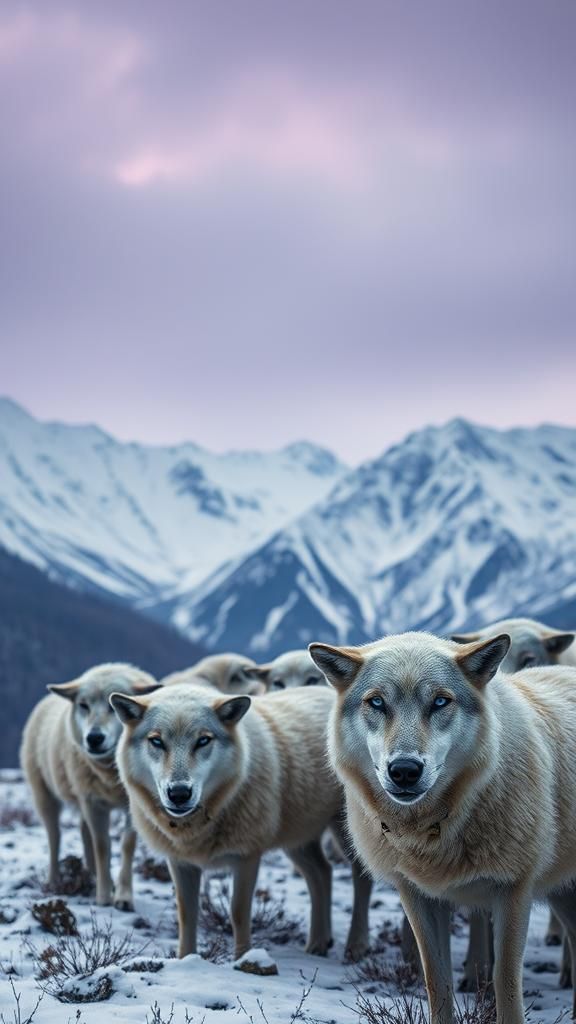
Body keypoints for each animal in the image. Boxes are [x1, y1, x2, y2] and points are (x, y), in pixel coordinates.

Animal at [21, 663, 158, 909]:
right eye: (83, 705)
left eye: (114, 707)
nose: (94, 738)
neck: (112, 775)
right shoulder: (94, 803)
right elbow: (102, 846)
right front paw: (103, 897)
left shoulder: (131, 804)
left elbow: (127, 845)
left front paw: (123, 896)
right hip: (45, 796)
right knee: (55, 838)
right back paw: (54, 880)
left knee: (84, 834)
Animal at [111, 682, 371, 961]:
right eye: (156, 741)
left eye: (203, 740)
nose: (179, 793)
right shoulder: (181, 862)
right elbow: (186, 914)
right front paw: (185, 959)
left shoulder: (247, 857)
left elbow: (238, 913)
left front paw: (242, 960)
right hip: (298, 840)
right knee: (322, 872)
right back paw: (319, 943)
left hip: (346, 837)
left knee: (361, 878)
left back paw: (357, 945)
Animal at [310, 631, 576, 1024]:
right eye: (377, 702)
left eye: (439, 701)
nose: (404, 770)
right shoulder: (419, 896)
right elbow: (436, 980)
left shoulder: (513, 891)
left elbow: (505, 982)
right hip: (562, 893)